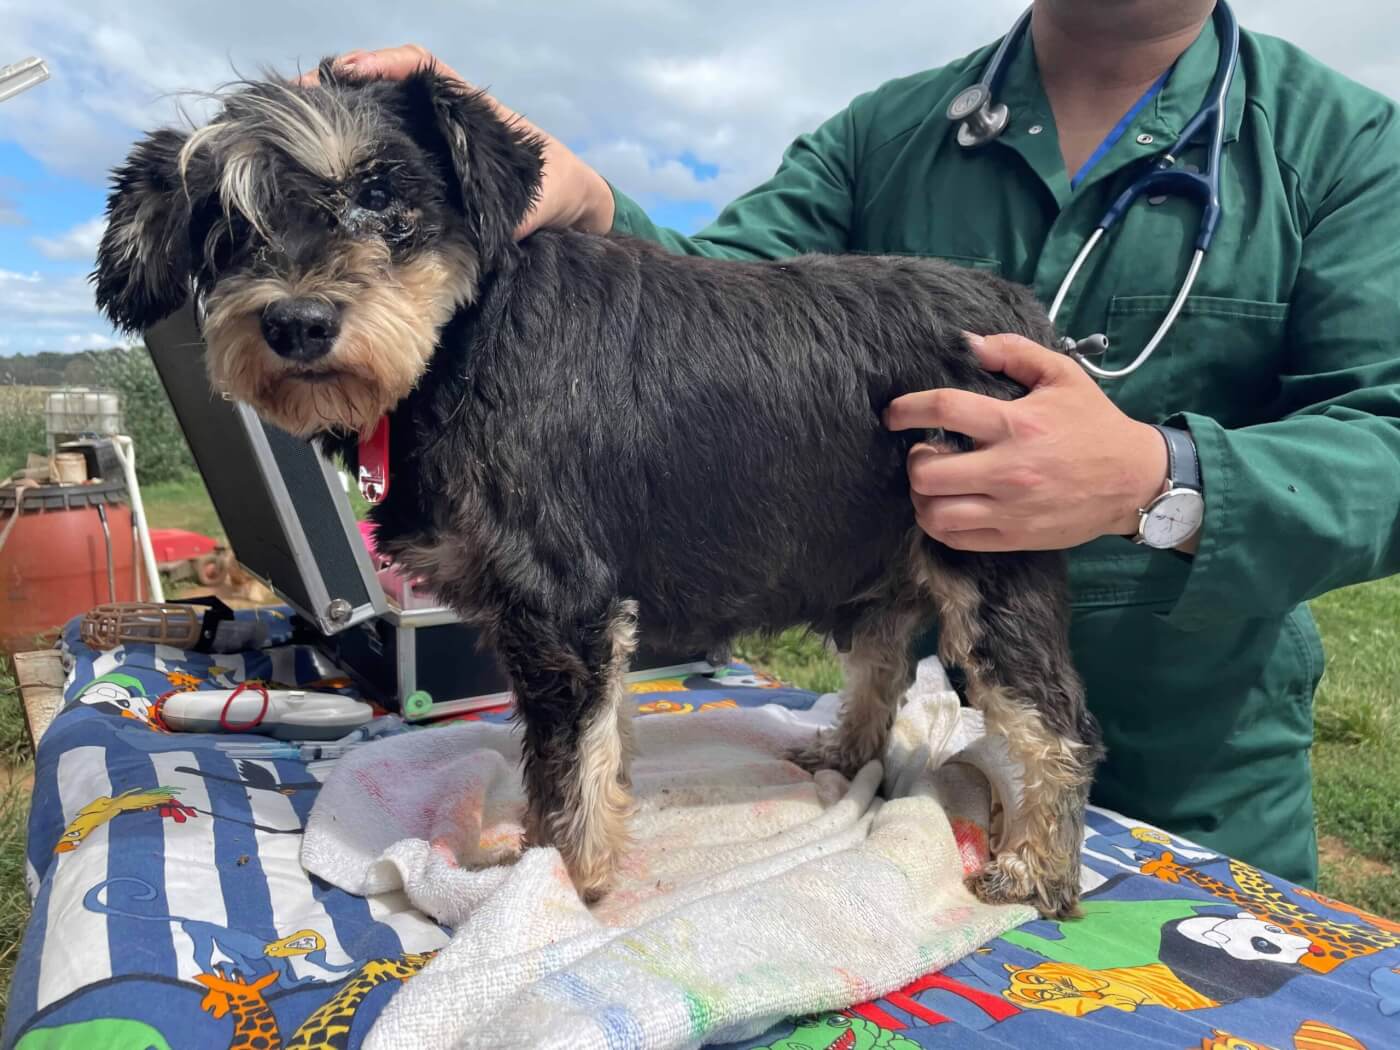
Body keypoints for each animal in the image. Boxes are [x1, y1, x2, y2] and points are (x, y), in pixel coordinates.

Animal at [95, 57, 1103, 918]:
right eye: (225, 224)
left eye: (380, 195)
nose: (296, 324)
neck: (464, 342)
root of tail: (1029, 320)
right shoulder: (567, 624)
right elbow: (585, 749)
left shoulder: (558, 607)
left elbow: (566, 765)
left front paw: (554, 880)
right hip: (890, 567)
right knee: (885, 665)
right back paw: (846, 754)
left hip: (991, 565)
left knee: (1058, 725)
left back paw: (1036, 869)